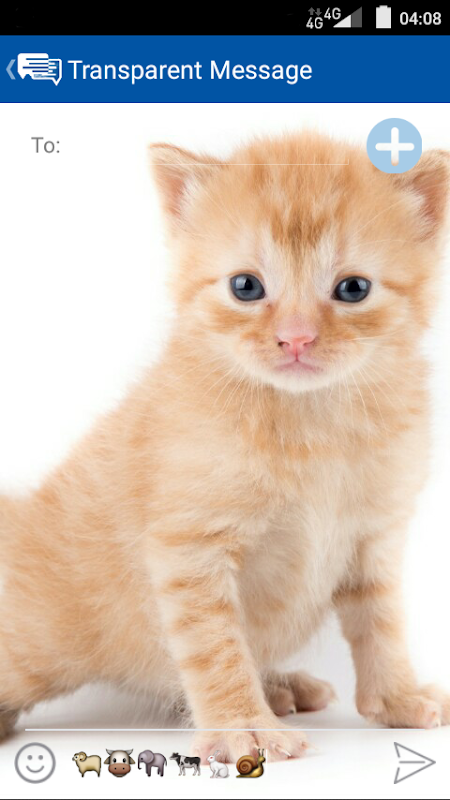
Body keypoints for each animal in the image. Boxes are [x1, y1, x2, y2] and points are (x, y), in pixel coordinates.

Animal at [0, 132, 449, 763]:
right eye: (246, 287)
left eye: (353, 289)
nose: (295, 338)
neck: (311, 426)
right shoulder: (190, 549)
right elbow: (216, 646)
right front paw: (244, 727)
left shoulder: (375, 539)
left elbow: (382, 626)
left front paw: (398, 700)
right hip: (33, 645)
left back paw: (281, 685)